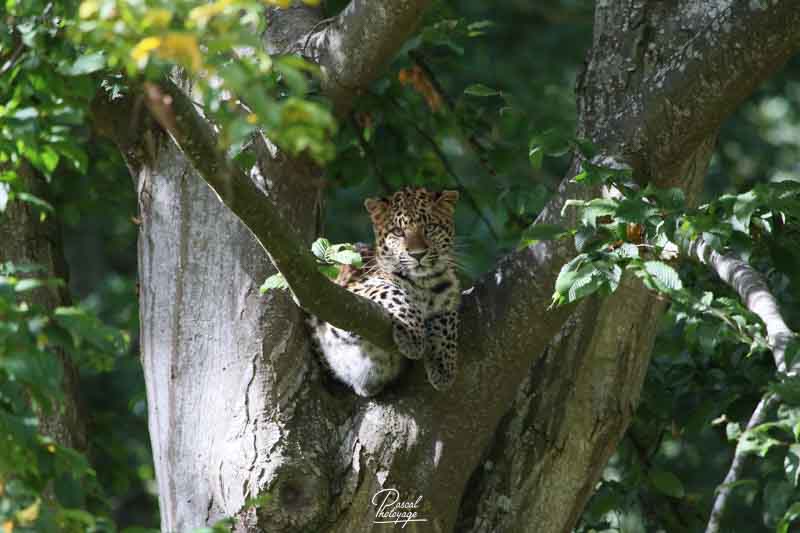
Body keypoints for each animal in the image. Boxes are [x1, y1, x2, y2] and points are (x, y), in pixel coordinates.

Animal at [308, 187, 460, 394]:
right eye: (398, 232)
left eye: (429, 228)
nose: (417, 254)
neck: (423, 284)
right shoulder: (345, 300)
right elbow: (391, 291)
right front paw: (413, 336)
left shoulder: (450, 294)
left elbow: (448, 321)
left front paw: (444, 368)